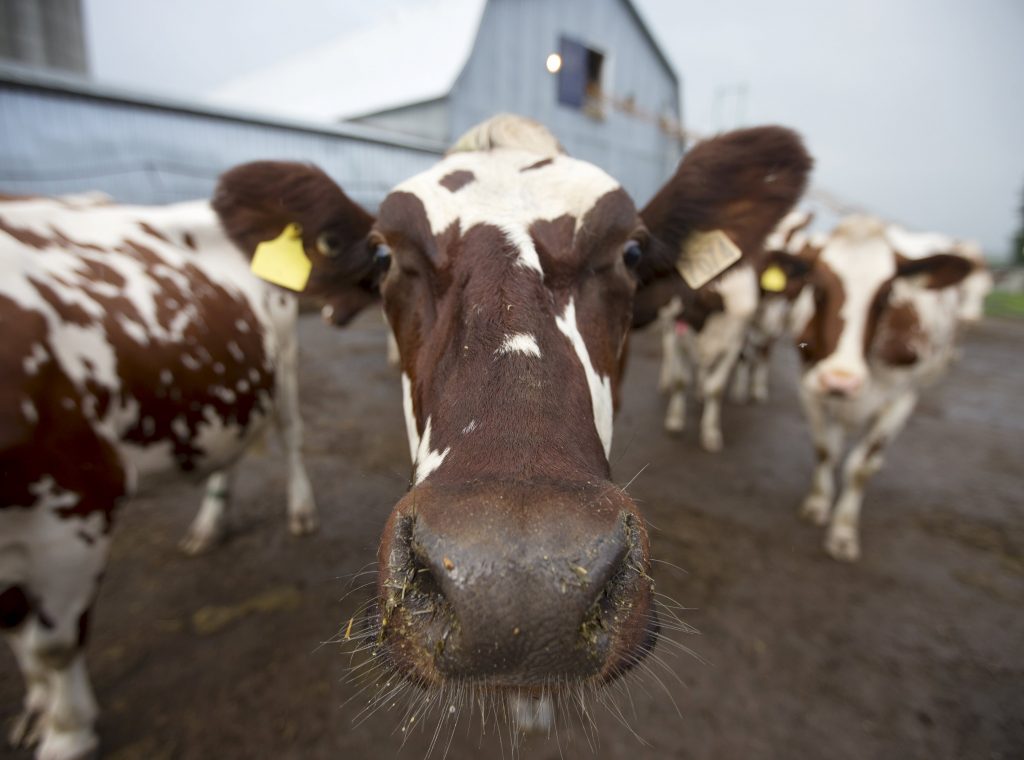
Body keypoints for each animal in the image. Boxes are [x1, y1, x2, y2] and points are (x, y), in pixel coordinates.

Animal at [0, 166, 380, 760]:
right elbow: (19, 635)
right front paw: (36, 711)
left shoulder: (78, 506)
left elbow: (52, 646)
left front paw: (67, 733)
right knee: (230, 450)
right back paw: (209, 524)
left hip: (284, 356)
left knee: (292, 434)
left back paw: (300, 511)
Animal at [774, 214, 974, 561]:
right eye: (818, 288)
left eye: (886, 294)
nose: (840, 379)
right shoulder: (810, 384)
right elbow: (824, 449)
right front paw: (817, 503)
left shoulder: (902, 400)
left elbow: (860, 469)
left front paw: (843, 531)